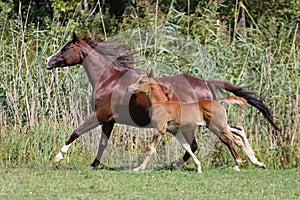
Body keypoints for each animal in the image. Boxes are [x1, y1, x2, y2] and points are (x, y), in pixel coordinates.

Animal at [126, 69, 264, 173]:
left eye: (142, 81)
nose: (128, 88)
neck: (163, 104)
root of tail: (218, 101)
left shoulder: (160, 130)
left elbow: (151, 149)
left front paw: (138, 168)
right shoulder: (174, 131)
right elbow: (187, 147)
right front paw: (198, 167)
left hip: (218, 127)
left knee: (237, 139)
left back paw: (246, 163)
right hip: (220, 125)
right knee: (240, 130)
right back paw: (258, 162)